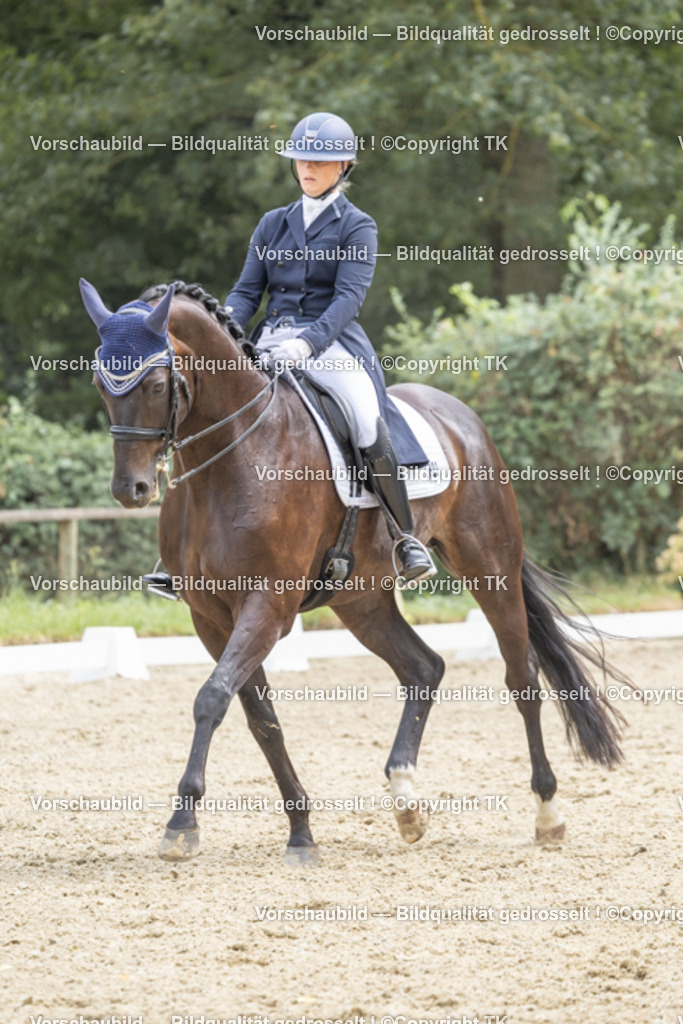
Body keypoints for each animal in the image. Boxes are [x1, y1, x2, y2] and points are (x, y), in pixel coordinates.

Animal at [80, 278, 626, 865]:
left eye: (157, 383)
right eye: (100, 382)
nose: (131, 490)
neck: (233, 456)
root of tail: (460, 415)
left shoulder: (267, 604)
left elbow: (211, 698)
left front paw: (182, 823)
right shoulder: (212, 616)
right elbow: (259, 717)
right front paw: (301, 832)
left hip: (489, 567)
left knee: (522, 677)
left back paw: (547, 813)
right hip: (361, 599)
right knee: (424, 668)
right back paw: (406, 803)